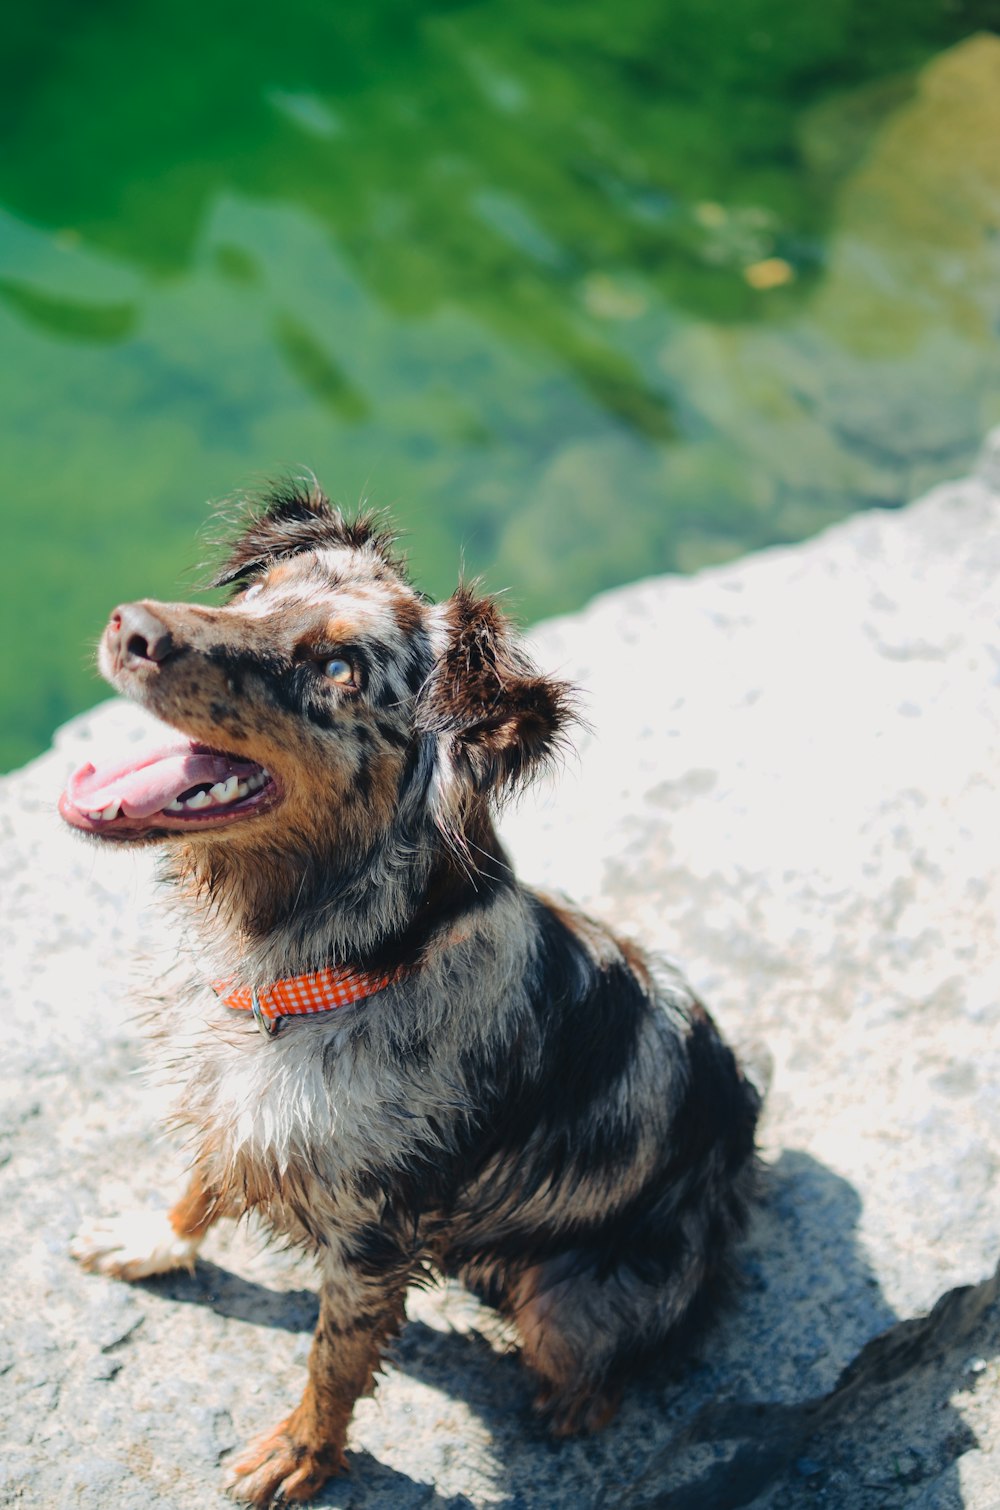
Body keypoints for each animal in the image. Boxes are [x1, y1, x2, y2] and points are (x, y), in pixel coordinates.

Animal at [62, 486, 764, 1510]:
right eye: (258, 593)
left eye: (340, 668)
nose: (130, 625)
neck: (309, 969)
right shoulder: (238, 1114)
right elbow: (200, 1182)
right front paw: (156, 1238)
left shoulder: (374, 1241)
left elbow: (334, 1365)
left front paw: (300, 1456)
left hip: (570, 1305)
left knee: (595, 1376)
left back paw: (555, 1401)